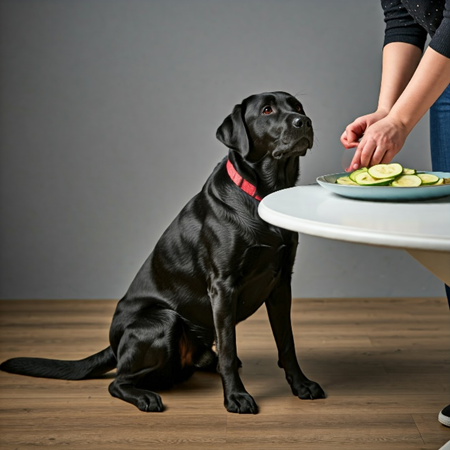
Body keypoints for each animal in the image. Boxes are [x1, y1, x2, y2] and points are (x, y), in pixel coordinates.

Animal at [0, 89, 324, 414]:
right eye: (267, 110)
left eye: (297, 107)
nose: (304, 121)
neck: (261, 193)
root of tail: (114, 345)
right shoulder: (223, 286)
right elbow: (230, 350)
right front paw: (235, 397)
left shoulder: (281, 282)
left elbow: (287, 342)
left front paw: (301, 385)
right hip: (164, 321)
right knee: (117, 381)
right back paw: (145, 396)